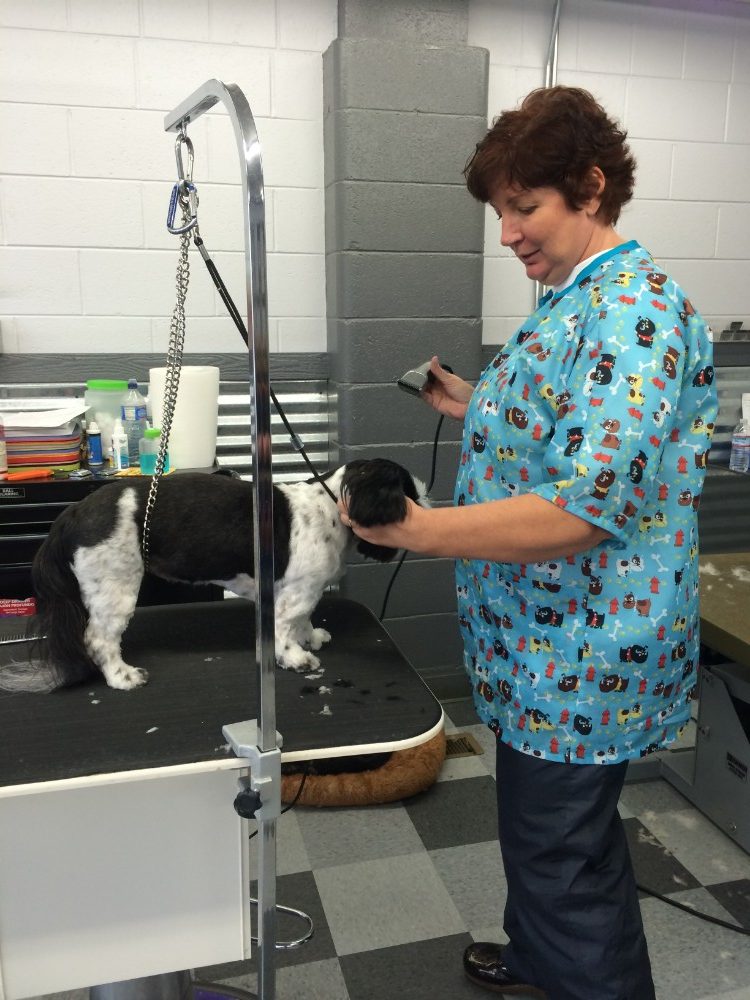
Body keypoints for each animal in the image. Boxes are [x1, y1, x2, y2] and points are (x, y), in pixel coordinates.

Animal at [0, 459, 426, 693]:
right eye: (408, 491)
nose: (426, 497)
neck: (331, 506)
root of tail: (72, 514)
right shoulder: (292, 595)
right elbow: (286, 629)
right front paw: (294, 657)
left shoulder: (302, 591)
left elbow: (303, 619)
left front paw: (311, 637)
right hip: (115, 586)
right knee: (99, 639)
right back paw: (122, 676)